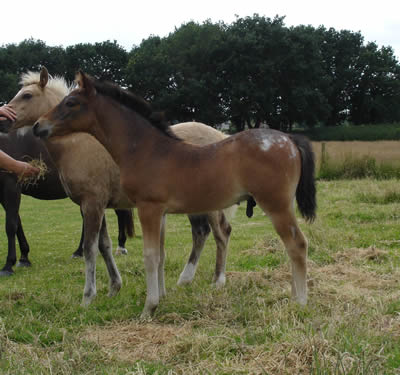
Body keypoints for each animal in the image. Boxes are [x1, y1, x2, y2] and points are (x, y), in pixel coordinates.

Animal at [10, 68, 238, 294]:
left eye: (27, 95)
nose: (7, 118)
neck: (78, 146)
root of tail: (220, 135)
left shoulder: (92, 203)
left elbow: (92, 248)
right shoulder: (98, 204)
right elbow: (104, 245)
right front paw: (114, 287)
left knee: (221, 232)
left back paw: (218, 280)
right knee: (201, 232)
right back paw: (186, 279)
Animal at [34, 72, 316, 318]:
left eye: (71, 102)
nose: (38, 126)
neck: (146, 150)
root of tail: (290, 139)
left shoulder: (147, 208)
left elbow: (150, 256)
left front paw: (148, 309)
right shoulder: (160, 213)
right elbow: (160, 254)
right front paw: (160, 298)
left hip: (277, 205)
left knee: (297, 244)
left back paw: (300, 302)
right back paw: (292, 296)